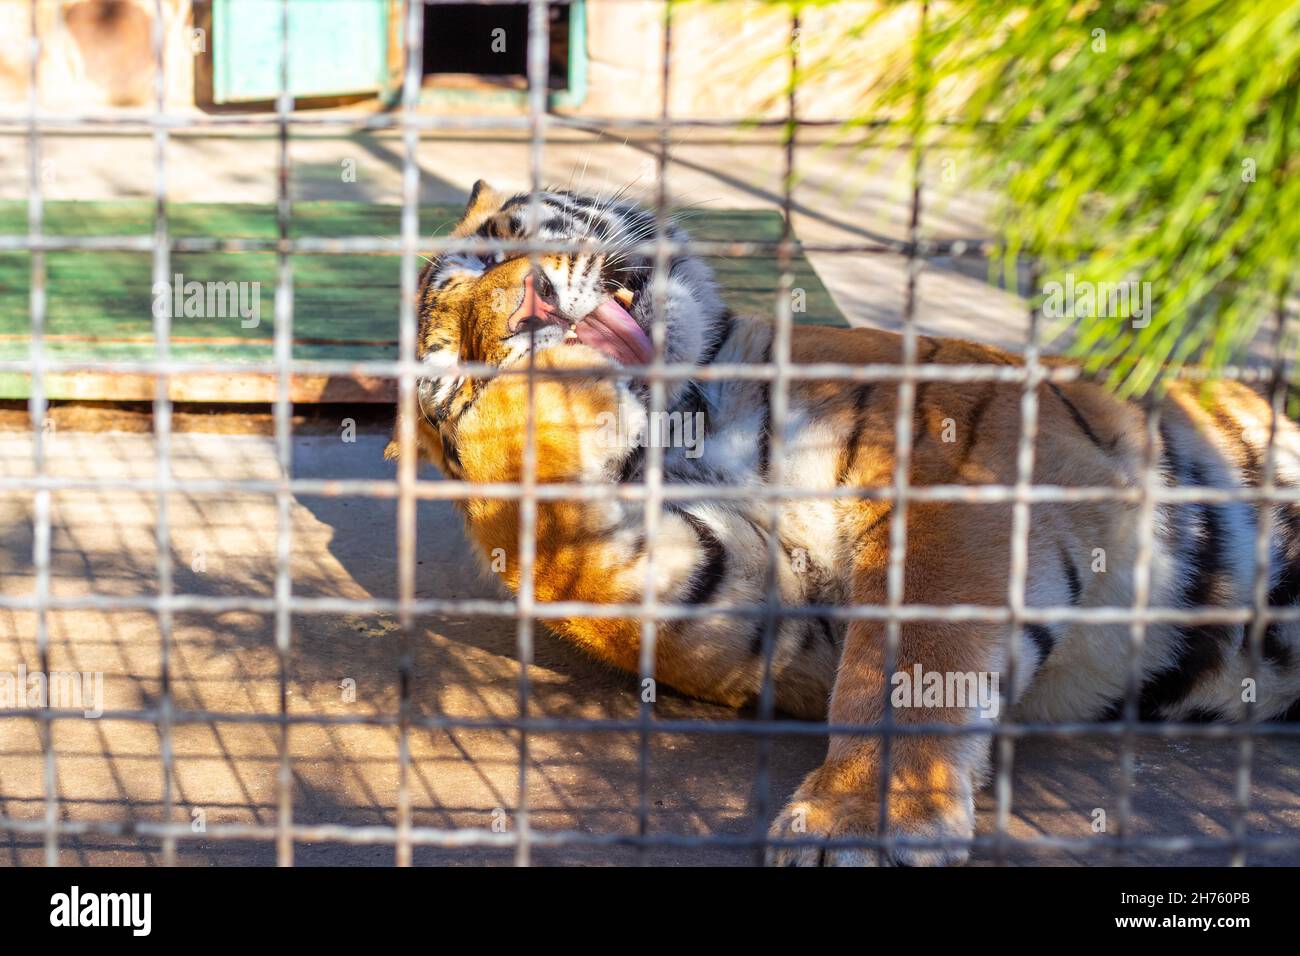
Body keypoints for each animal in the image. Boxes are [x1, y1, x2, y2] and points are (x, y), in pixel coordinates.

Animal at [385, 179, 1300, 866]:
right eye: (454, 368)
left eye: (500, 245)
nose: (528, 310)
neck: (696, 416)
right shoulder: (775, 613)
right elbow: (579, 569)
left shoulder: (963, 469)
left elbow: (914, 660)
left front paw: (859, 825)